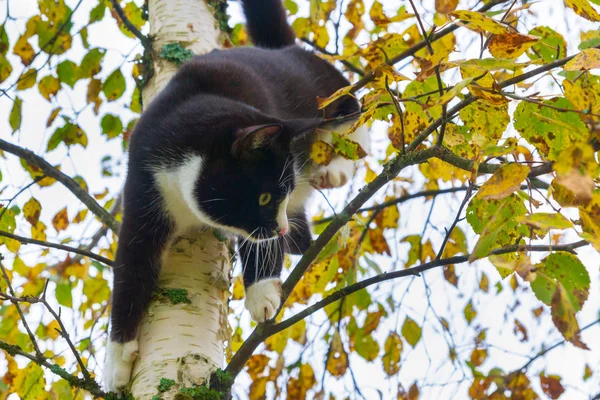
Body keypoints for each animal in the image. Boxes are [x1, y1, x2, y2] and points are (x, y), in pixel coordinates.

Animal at [103, 0, 368, 390]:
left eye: (281, 192)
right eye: (264, 197)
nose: (280, 228)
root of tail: (279, 51)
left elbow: (260, 245)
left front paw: (261, 294)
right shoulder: (143, 184)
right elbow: (131, 268)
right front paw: (117, 361)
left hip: (324, 90)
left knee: (356, 110)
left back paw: (334, 169)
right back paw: (303, 237)